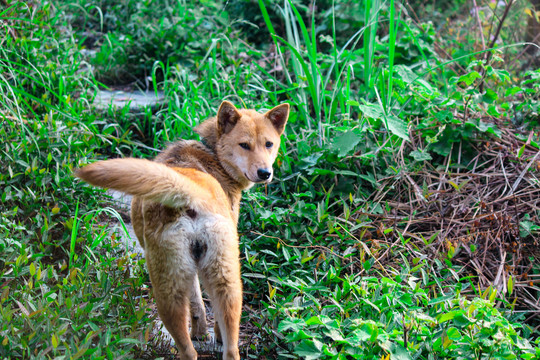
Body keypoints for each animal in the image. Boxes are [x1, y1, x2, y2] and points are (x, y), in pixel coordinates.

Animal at [75, 100, 288, 358]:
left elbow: (197, 304)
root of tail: (189, 193)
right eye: (244, 145)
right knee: (213, 348)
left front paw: (200, 332)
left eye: (269, 144)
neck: (212, 153)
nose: (265, 173)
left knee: (204, 350)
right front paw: (213, 335)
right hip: (208, 283)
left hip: (181, 287)